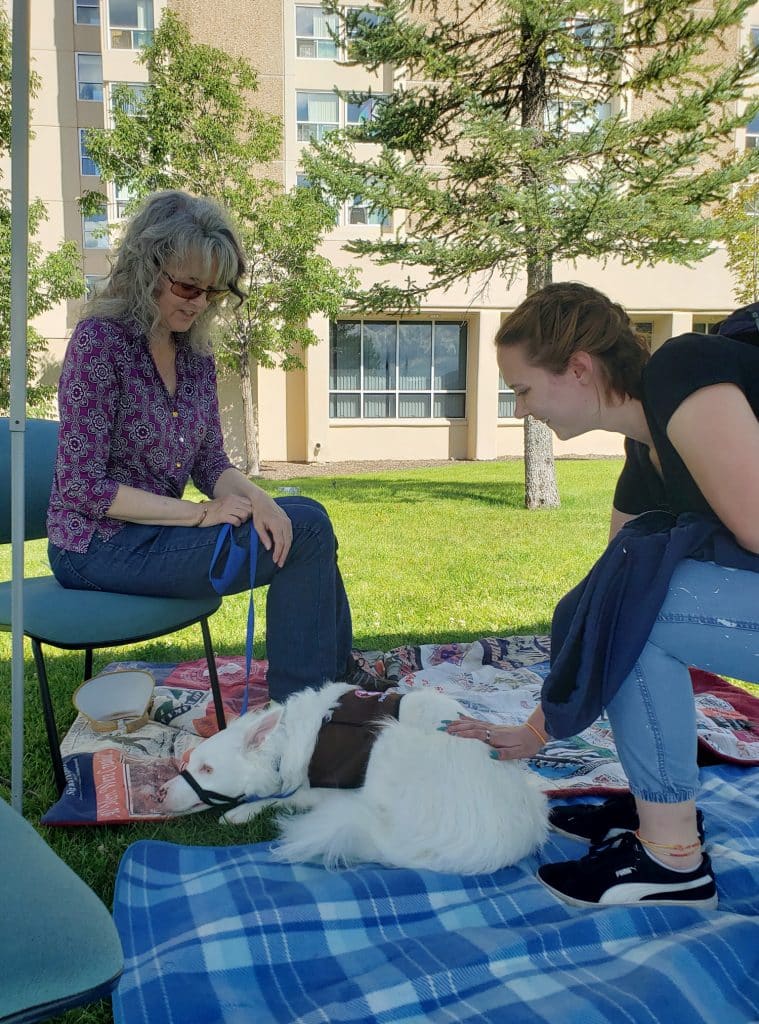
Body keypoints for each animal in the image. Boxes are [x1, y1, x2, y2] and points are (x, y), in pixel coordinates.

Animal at [161, 679, 544, 872]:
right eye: (190, 763)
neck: (287, 740)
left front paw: (241, 811)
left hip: (388, 739)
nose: (160, 794)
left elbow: (287, 796)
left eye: (208, 769)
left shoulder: (330, 786)